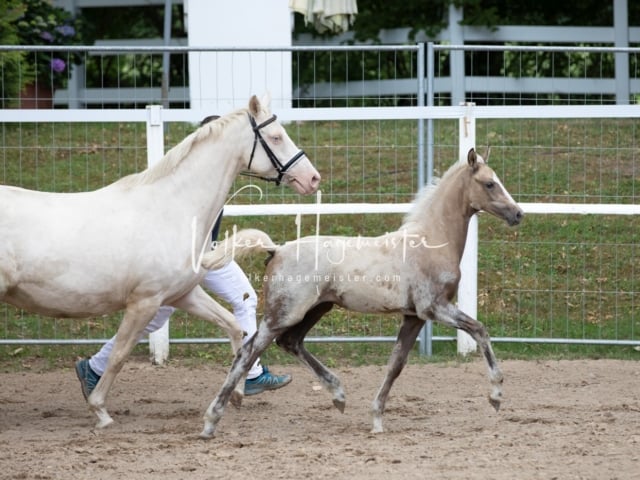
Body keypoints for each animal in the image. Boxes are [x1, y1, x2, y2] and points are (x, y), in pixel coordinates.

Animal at [0, 94, 320, 428]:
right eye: (276, 137)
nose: (313, 178)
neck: (171, 207)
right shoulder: (145, 301)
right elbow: (119, 354)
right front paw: (100, 411)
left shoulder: (183, 295)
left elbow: (235, 328)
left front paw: (237, 394)